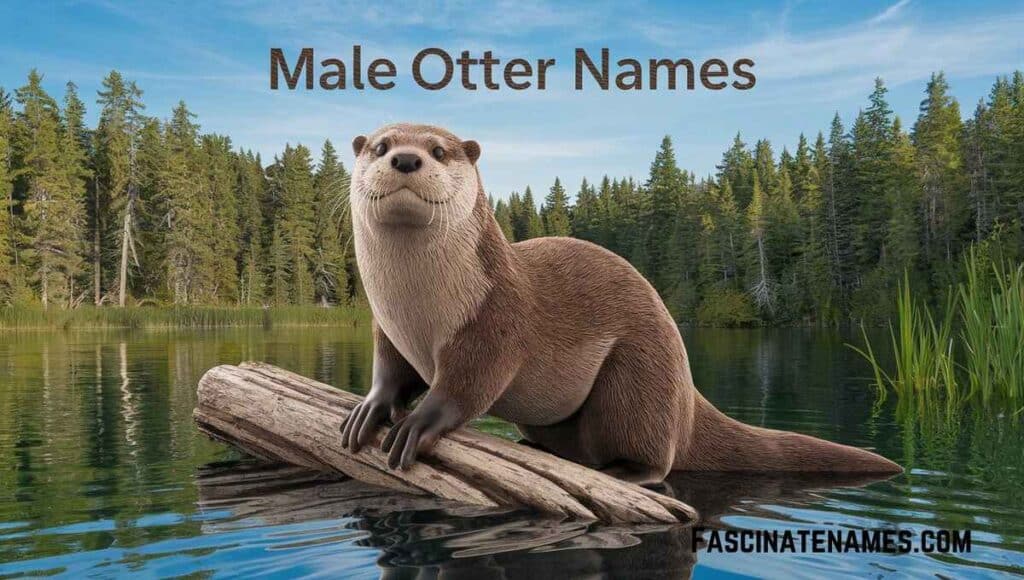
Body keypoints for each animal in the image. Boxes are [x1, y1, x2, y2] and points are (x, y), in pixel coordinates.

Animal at [339, 123, 901, 485]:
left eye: (439, 150)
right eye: (382, 145)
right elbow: (390, 370)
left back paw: (622, 472)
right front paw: (371, 408)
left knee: (657, 459)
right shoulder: (387, 328)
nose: (406, 158)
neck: (418, 307)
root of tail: (687, 397)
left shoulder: (495, 318)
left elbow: (467, 385)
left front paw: (419, 424)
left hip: (639, 378)